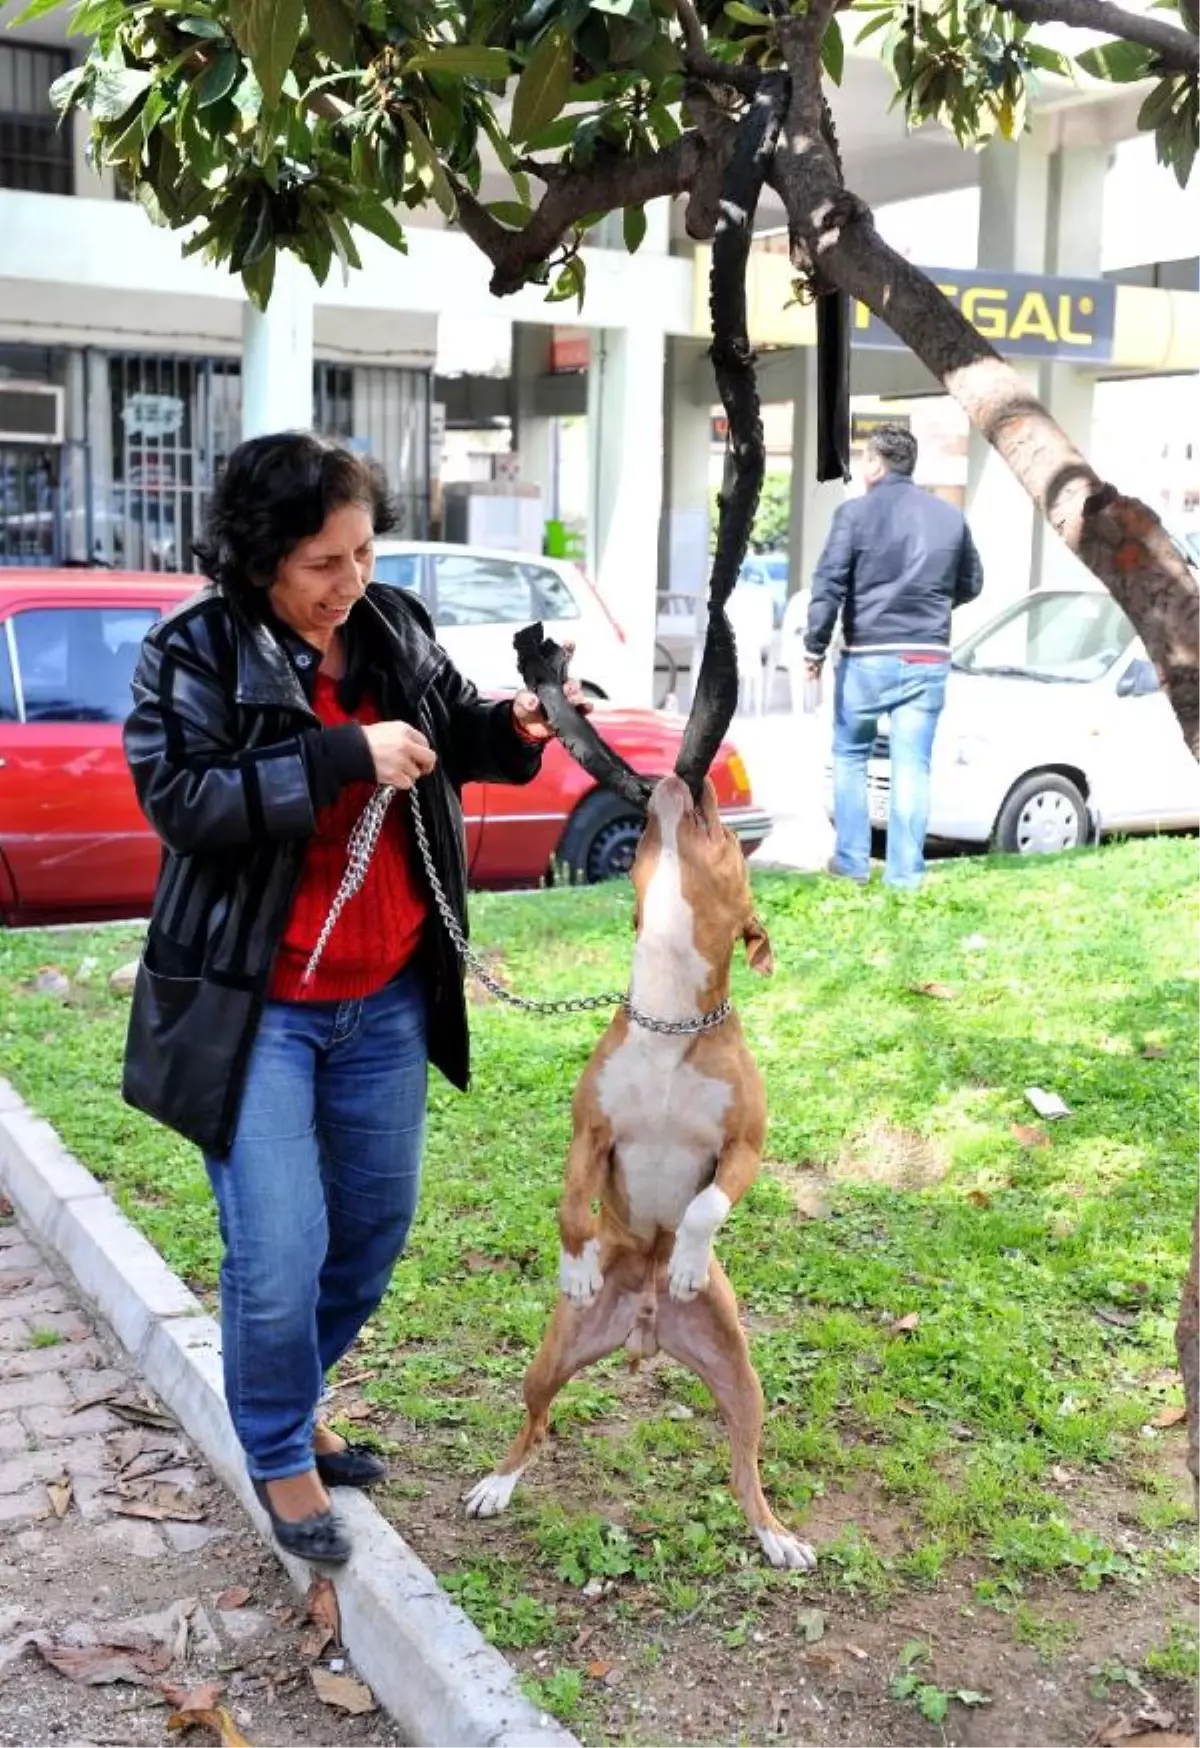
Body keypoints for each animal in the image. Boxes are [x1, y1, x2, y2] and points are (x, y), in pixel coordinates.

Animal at [465, 776, 822, 1573]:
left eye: (723, 835)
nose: (687, 779)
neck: (669, 1016)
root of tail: (645, 1328)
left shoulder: (743, 1147)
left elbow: (705, 1206)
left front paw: (687, 1258)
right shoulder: (589, 1135)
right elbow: (572, 1206)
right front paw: (575, 1265)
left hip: (742, 1383)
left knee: (745, 1470)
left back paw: (776, 1537)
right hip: (549, 1361)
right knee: (534, 1423)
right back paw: (497, 1485)